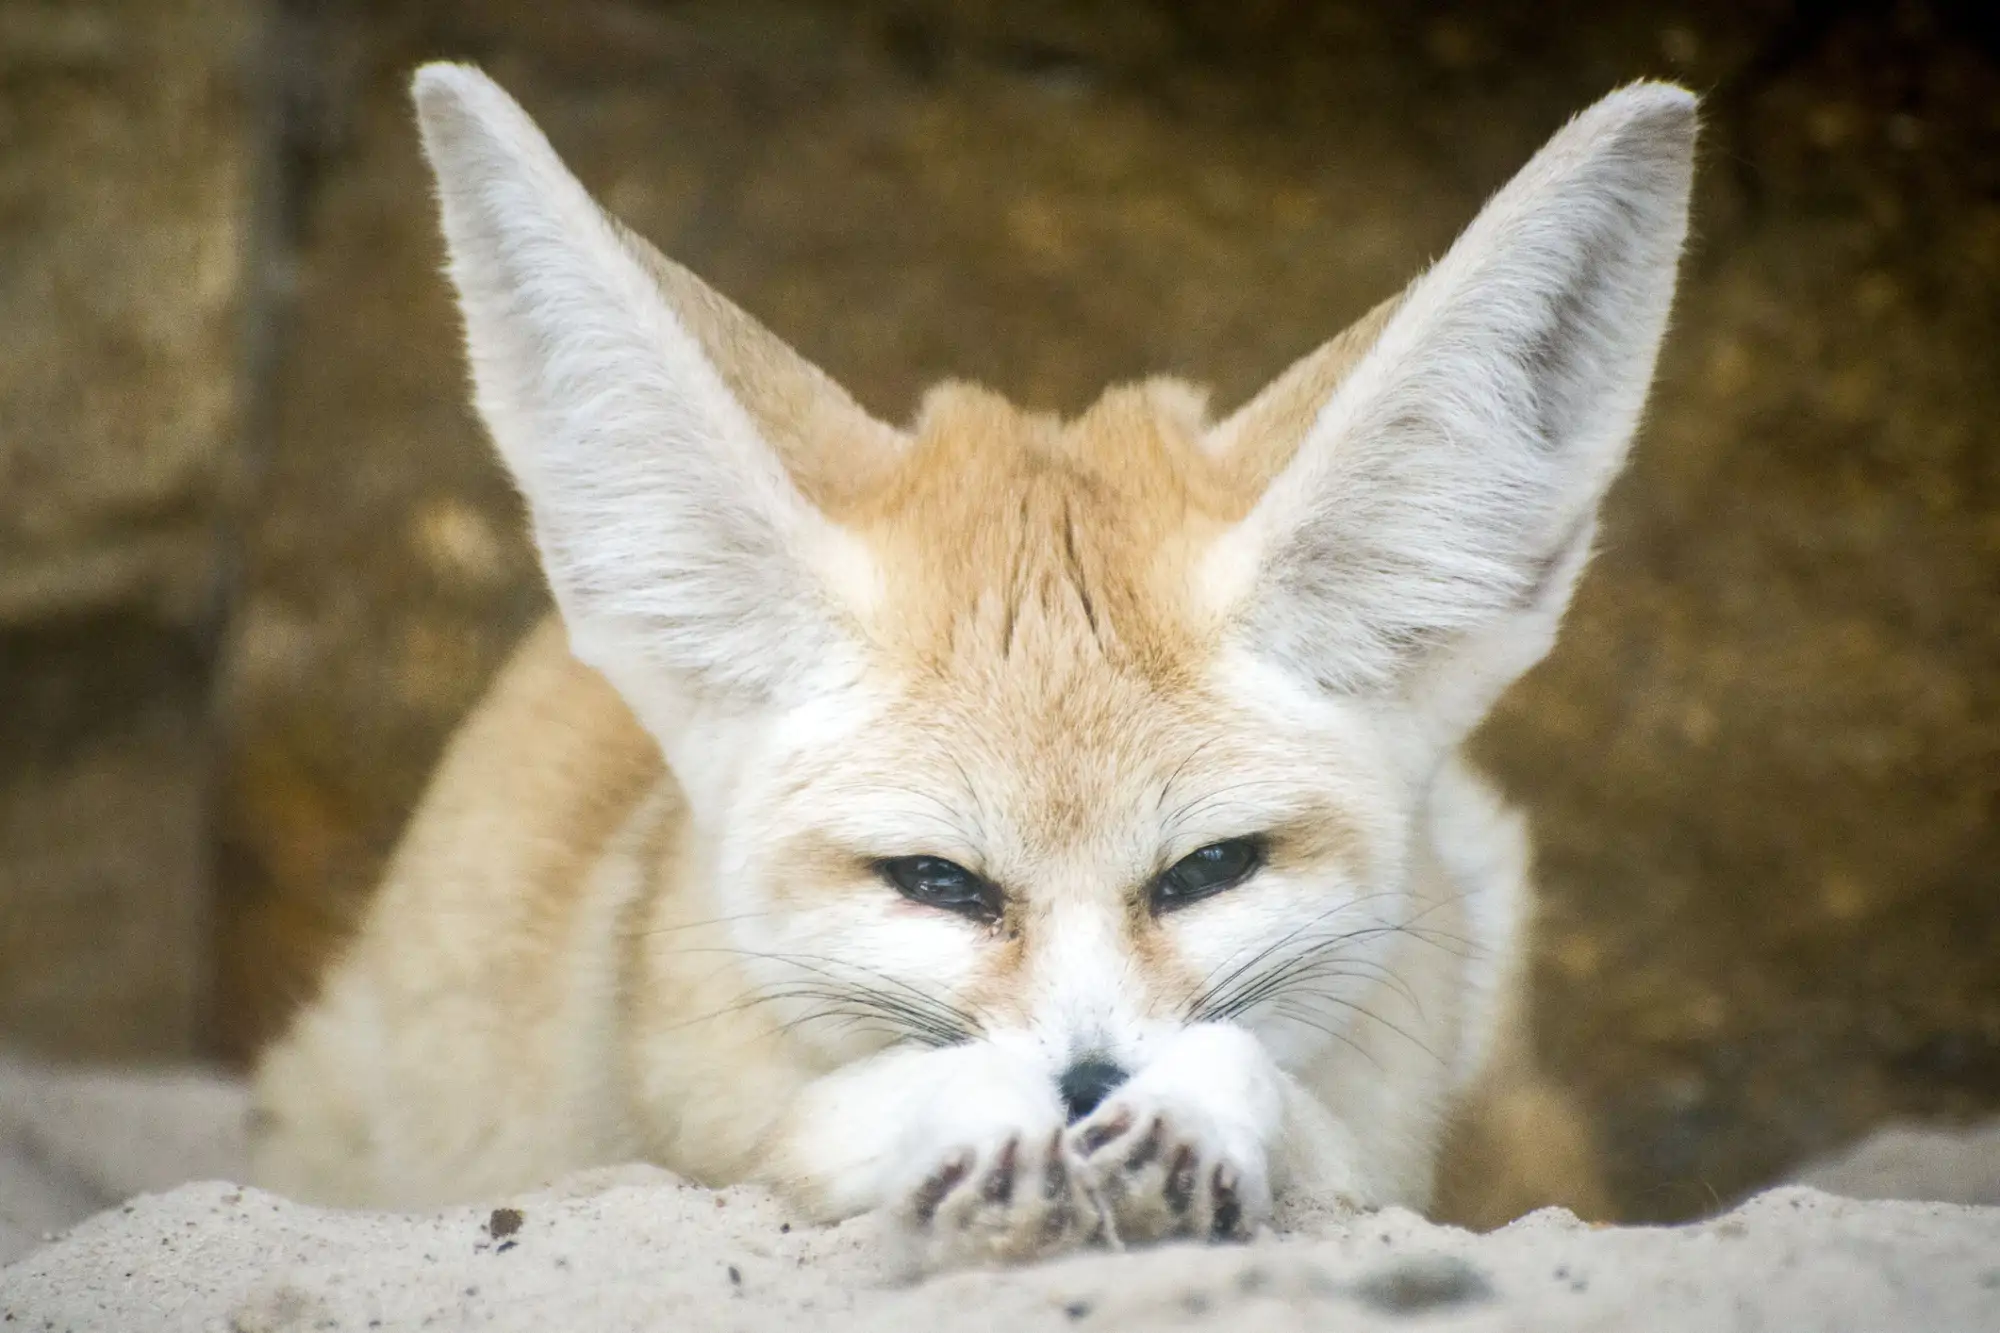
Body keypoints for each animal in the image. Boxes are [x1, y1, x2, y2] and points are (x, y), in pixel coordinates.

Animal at [249, 63, 1695, 1267]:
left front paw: (1196, 1117)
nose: (1089, 1090)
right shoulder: (685, 1123)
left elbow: (1291, 1105)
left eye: (1209, 869)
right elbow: (828, 1116)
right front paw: (972, 1117)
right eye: (938, 881)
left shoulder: (1389, 1136)